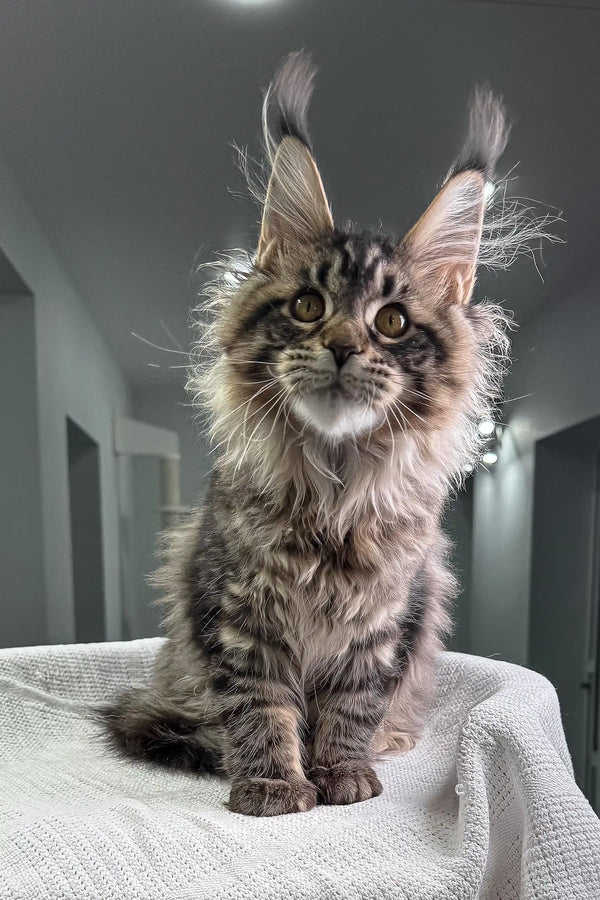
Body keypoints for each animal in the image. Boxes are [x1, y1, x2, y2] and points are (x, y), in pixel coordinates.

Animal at [104, 52, 548, 820]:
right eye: (310, 307)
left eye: (392, 321)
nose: (341, 346)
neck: (333, 486)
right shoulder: (239, 618)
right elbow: (260, 709)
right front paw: (274, 786)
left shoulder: (386, 624)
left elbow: (351, 708)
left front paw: (342, 775)